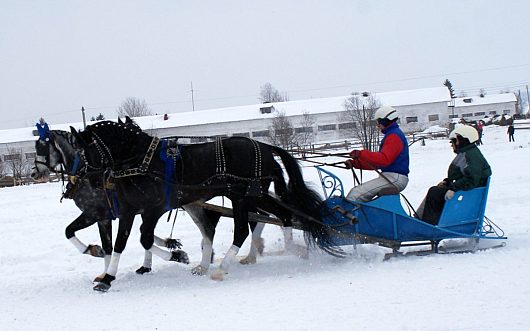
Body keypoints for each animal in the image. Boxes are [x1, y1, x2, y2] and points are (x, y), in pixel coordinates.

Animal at [70, 120, 328, 292]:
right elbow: (121, 244)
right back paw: (291, 249)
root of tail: (264, 147)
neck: (141, 162)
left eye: (84, 152)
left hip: (245, 197)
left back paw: (222, 267)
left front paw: (177, 256)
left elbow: (144, 239)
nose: (90, 181)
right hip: (253, 196)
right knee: (280, 215)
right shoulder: (129, 211)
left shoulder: (153, 209)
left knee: (244, 230)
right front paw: (107, 277)